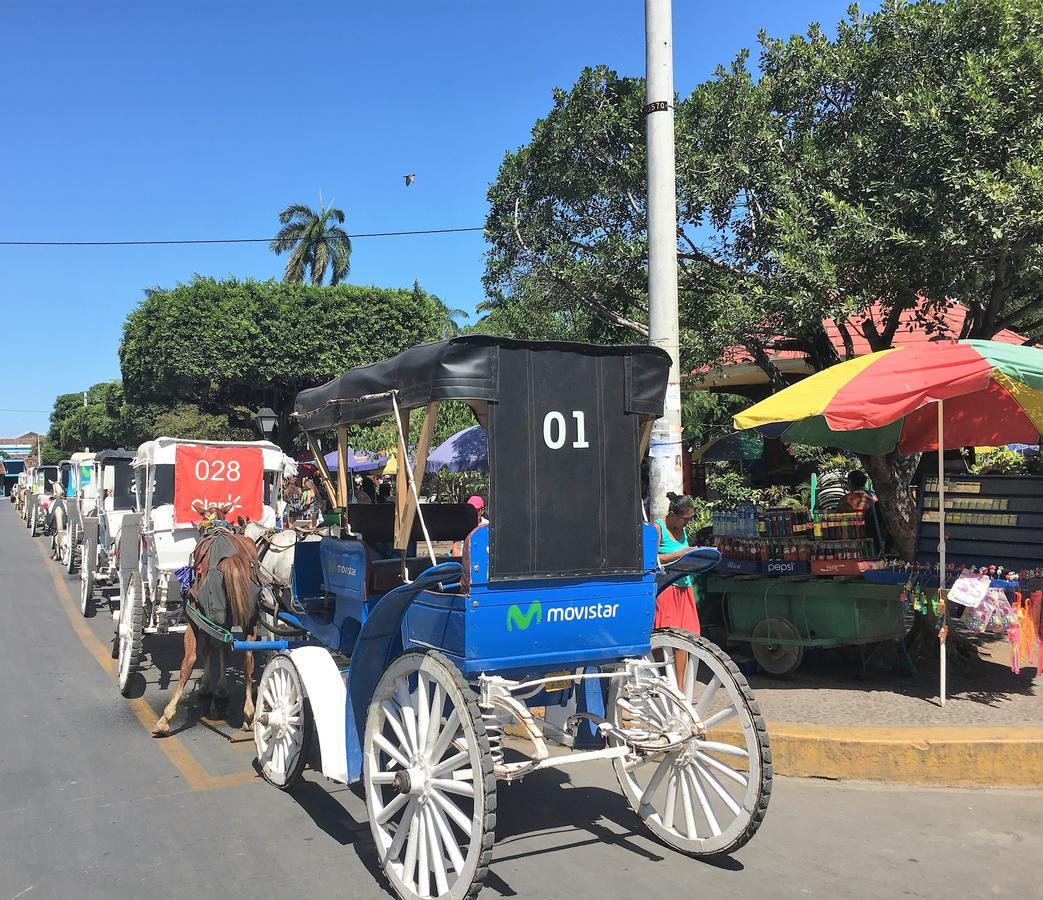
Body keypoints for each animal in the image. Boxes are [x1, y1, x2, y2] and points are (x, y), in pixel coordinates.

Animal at [152, 506, 262, 738]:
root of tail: (230, 558)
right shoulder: (225, 623)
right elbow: (223, 651)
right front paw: (220, 690)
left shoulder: (200, 619)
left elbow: (202, 653)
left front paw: (208, 687)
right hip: (250, 619)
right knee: (248, 658)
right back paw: (249, 714)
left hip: (199, 619)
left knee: (190, 660)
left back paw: (166, 717)